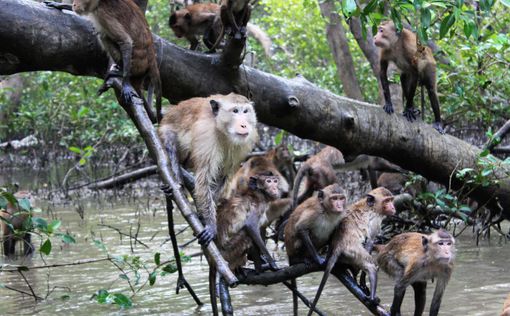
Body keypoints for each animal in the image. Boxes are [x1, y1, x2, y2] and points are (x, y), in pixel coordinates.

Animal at [304, 186, 396, 314]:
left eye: (391, 200)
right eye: (387, 201)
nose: (393, 207)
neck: (371, 206)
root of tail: (339, 244)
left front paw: (360, 280)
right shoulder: (375, 221)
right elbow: (370, 241)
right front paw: (362, 280)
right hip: (352, 251)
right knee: (371, 265)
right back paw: (372, 298)